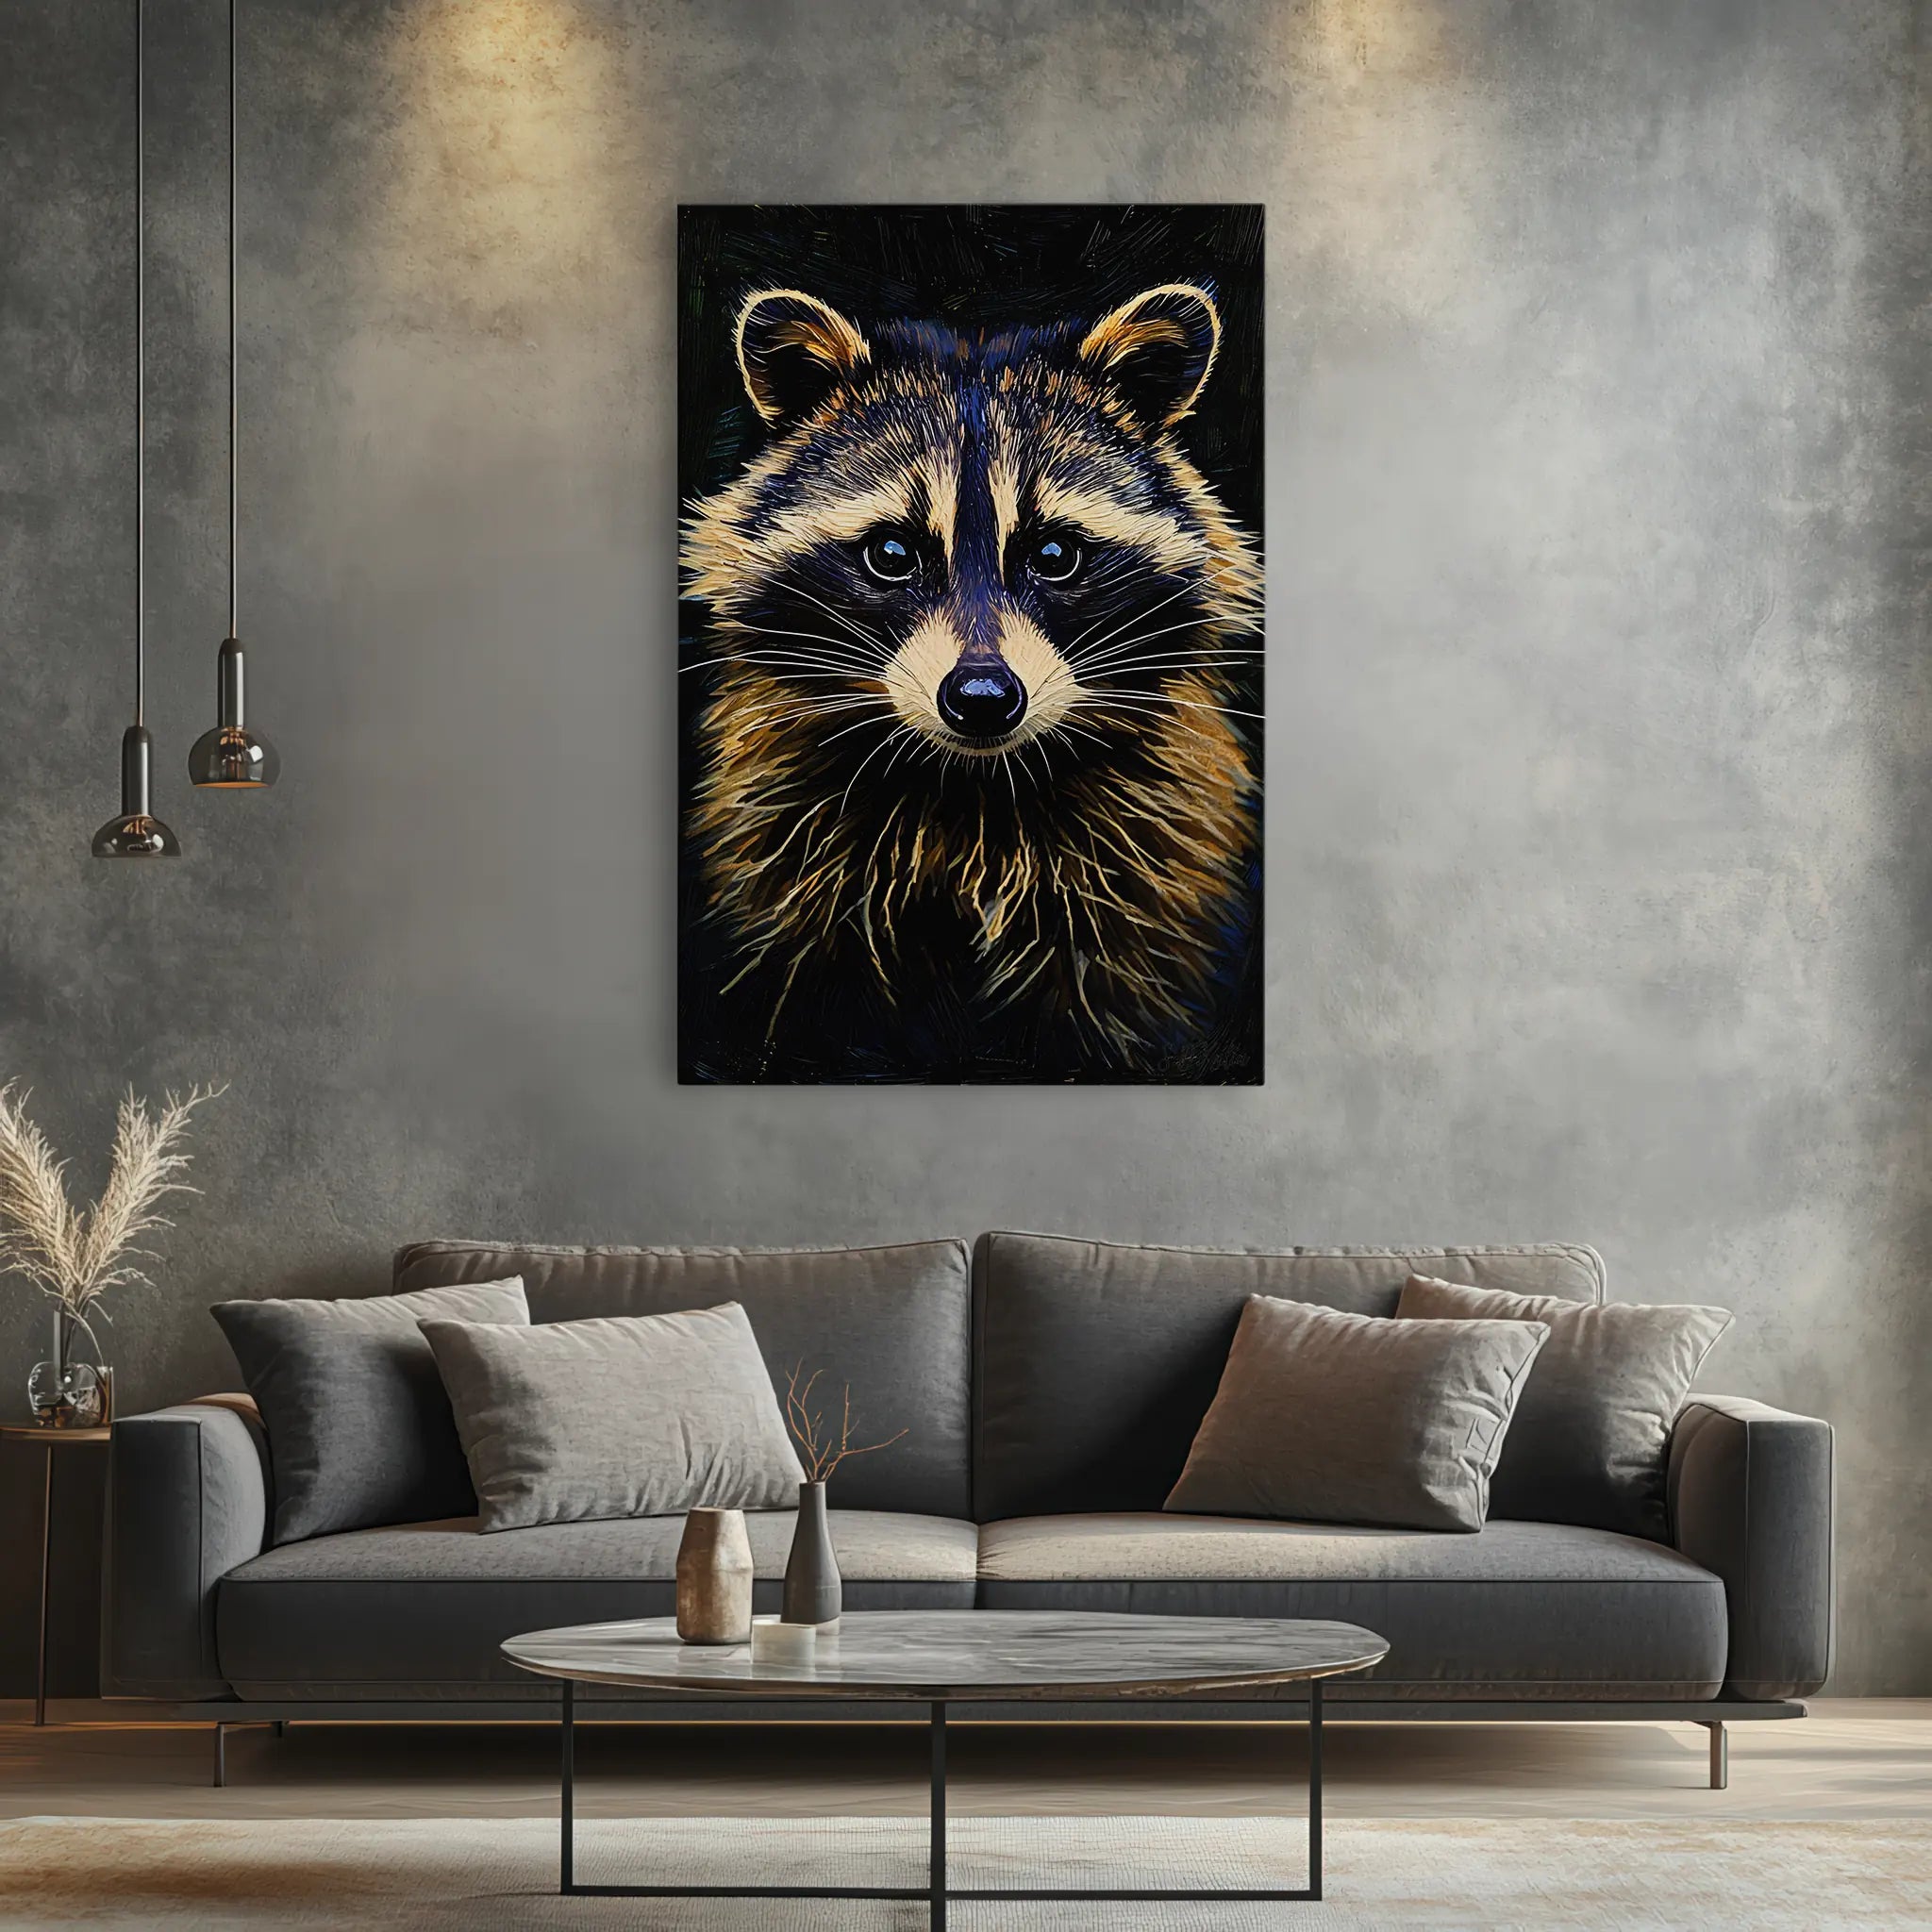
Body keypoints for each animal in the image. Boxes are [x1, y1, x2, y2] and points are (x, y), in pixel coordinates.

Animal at [681, 281, 1262, 1080]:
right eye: (892, 553)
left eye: (1054, 553)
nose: (982, 700)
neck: (972, 789)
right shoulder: (790, 855)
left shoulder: (1148, 863)